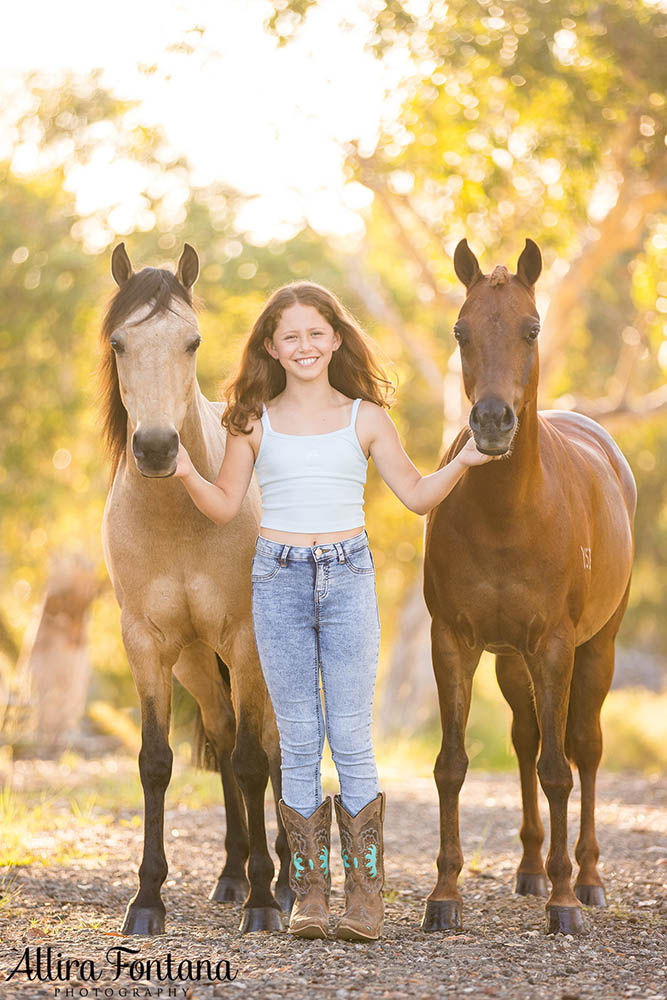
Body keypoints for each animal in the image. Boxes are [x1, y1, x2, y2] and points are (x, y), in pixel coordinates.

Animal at [99, 246, 292, 932]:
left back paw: (287, 880)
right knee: (225, 732)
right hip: (196, 665)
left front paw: (264, 903)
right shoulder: (148, 646)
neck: (181, 517)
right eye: (120, 342)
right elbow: (157, 763)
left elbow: (255, 760)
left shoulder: (247, 639)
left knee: (273, 746)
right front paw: (147, 900)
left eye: (193, 341)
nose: (157, 448)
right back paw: (231, 874)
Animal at [422, 240, 636, 936]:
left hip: (597, 650)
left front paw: (564, 904)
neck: (508, 512)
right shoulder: (454, 644)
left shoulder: (555, 648)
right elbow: (454, 765)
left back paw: (586, 879)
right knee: (524, 740)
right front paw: (444, 896)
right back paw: (531, 868)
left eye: (532, 328)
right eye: (460, 330)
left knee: (584, 749)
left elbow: (559, 770)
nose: (493, 421)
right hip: (511, 662)